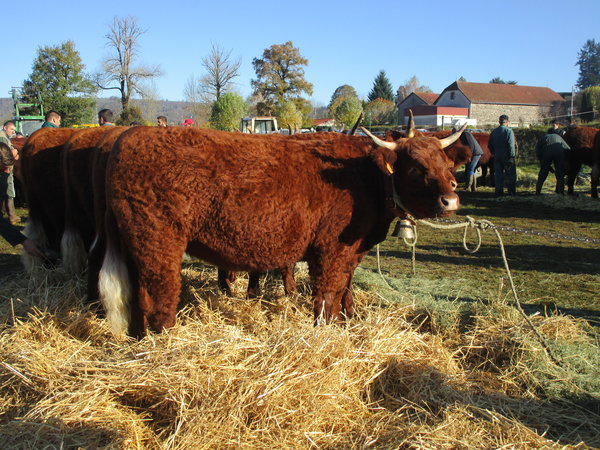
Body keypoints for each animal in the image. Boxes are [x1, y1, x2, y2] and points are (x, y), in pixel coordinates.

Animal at [101, 125, 462, 336]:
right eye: (415, 167)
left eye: (446, 164)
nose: (451, 200)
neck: (364, 176)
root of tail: (128, 137)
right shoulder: (330, 250)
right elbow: (327, 295)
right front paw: (326, 332)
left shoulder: (352, 251)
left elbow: (344, 290)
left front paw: (346, 322)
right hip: (158, 241)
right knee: (158, 296)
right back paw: (165, 341)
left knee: (136, 296)